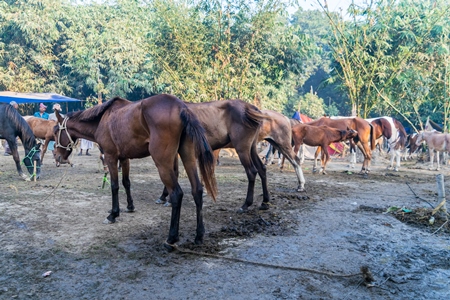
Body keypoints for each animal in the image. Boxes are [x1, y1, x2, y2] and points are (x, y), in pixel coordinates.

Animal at [52, 95, 218, 250]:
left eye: (55, 133)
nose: (57, 157)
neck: (102, 120)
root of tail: (181, 107)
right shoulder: (124, 158)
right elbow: (126, 183)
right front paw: (129, 206)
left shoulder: (111, 157)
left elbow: (114, 186)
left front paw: (113, 214)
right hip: (188, 157)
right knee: (197, 190)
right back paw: (199, 235)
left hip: (163, 164)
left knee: (177, 194)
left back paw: (171, 238)